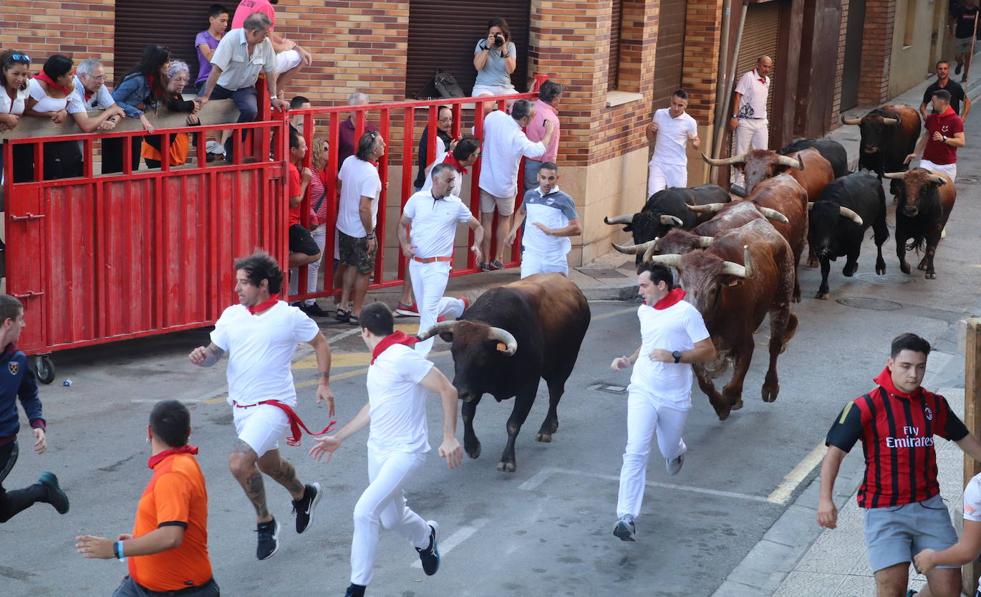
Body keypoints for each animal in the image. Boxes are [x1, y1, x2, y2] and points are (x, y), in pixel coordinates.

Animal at [416, 272, 588, 472]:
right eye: (454, 352)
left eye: (482, 356)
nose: (459, 391)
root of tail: (573, 288)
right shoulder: (474, 385)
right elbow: (467, 414)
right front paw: (472, 446)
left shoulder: (529, 385)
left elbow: (513, 423)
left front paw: (507, 460)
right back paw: (552, 425)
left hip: (566, 361)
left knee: (555, 393)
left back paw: (546, 429)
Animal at [644, 219, 796, 420]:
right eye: (682, 286)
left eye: (713, 289)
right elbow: (704, 382)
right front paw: (721, 406)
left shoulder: (746, 343)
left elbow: (734, 383)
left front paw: (730, 400)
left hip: (782, 301)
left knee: (775, 345)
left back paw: (770, 387)